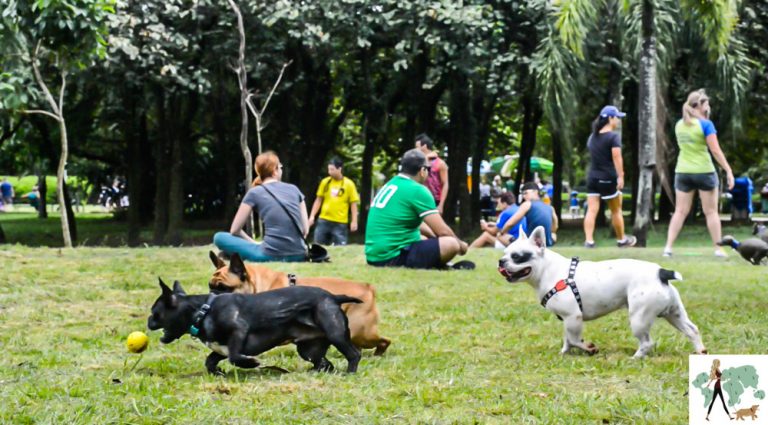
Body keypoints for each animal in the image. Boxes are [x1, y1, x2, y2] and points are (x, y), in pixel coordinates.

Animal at [150, 280, 366, 372]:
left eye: (155, 313)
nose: (148, 321)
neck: (202, 311)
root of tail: (333, 297)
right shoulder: (221, 347)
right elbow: (210, 360)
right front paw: (217, 372)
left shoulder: (238, 331)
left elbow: (234, 356)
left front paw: (251, 364)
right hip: (308, 350)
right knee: (324, 363)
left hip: (336, 333)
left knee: (354, 354)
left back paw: (349, 373)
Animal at [208, 252, 392, 354]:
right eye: (210, 286)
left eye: (224, 288)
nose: (211, 295)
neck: (256, 285)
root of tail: (368, 287)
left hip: (359, 332)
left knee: (384, 341)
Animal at [498, 225, 708, 358]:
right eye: (505, 253)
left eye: (517, 257)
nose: (501, 261)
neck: (547, 270)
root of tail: (661, 272)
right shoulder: (567, 319)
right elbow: (567, 339)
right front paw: (564, 353)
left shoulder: (573, 317)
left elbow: (574, 339)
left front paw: (589, 348)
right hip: (674, 313)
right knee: (692, 330)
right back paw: (701, 352)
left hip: (639, 318)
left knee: (647, 343)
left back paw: (635, 357)